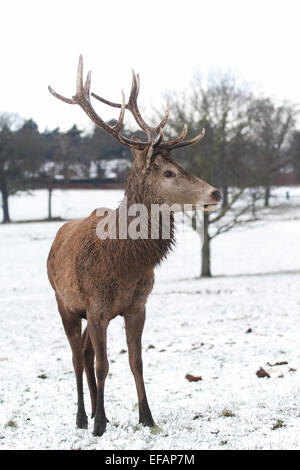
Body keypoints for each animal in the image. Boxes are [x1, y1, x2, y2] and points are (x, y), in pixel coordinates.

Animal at [47, 56, 223, 436]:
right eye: (168, 172)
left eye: (181, 164)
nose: (216, 193)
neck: (125, 262)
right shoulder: (96, 306)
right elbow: (103, 365)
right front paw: (99, 425)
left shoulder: (136, 306)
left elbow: (136, 361)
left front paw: (146, 416)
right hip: (65, 303)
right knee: (76, 356)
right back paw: (83, 417)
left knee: (85, 353)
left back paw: (98, 411)